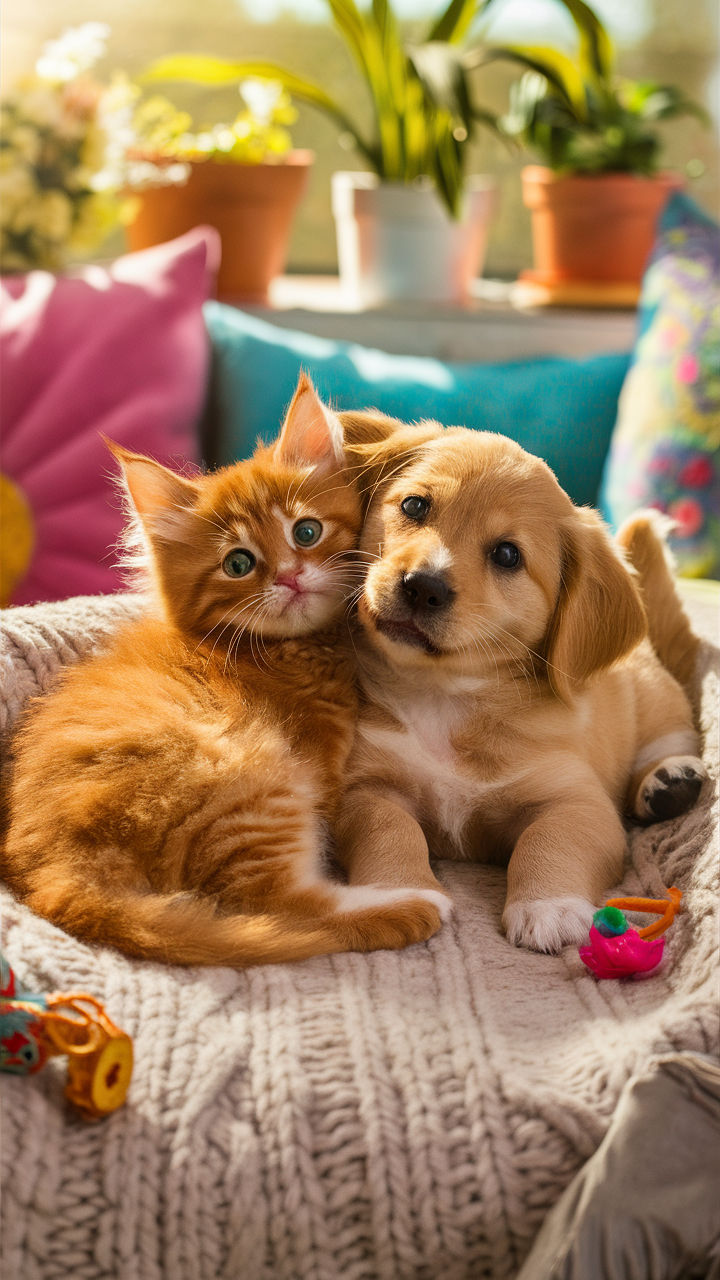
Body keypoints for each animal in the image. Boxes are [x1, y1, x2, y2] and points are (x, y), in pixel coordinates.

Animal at [1, 373, 443, 962]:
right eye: (239, 563)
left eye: (306, 532)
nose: (289, 577)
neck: (284, 651)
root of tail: (57, 877)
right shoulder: (322, 771)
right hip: (252, 783)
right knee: (283, 908)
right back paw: (410, 904)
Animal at [333, 414, 702, 957]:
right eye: (415, 506)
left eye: (507, 554)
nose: (423, 586)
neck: (442, 696)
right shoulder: (367, 788)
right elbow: (390, 829)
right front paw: (399, 892)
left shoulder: (578, 801)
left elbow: (548, 841)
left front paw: (549, 907)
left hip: (656, 700)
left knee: (670, 740)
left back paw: (670, 779)